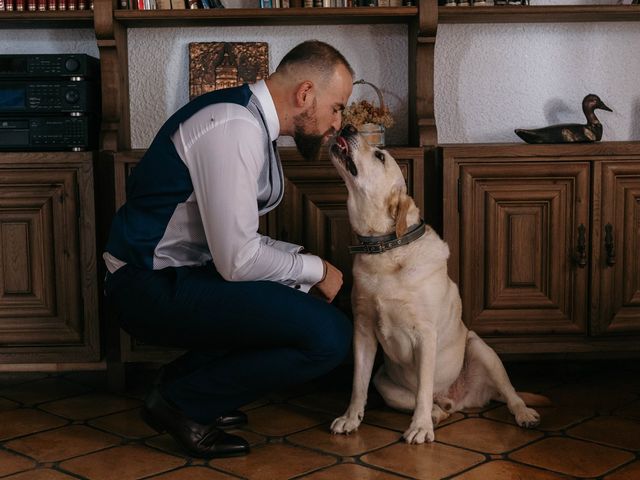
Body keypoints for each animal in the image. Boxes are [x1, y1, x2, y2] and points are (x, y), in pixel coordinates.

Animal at [330, 125, 544, 444]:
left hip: (481, 350)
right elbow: (359, 384)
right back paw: (436, 412)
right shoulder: (363, 331)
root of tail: (459, 398)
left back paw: (523, 414)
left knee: (510, 394)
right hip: (385, 383)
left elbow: (423, 386)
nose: (348, 127)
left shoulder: (425, 334)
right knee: (434, 405)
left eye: (380, 155)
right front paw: (350, 418)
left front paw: (419, 427)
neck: (386, 250)